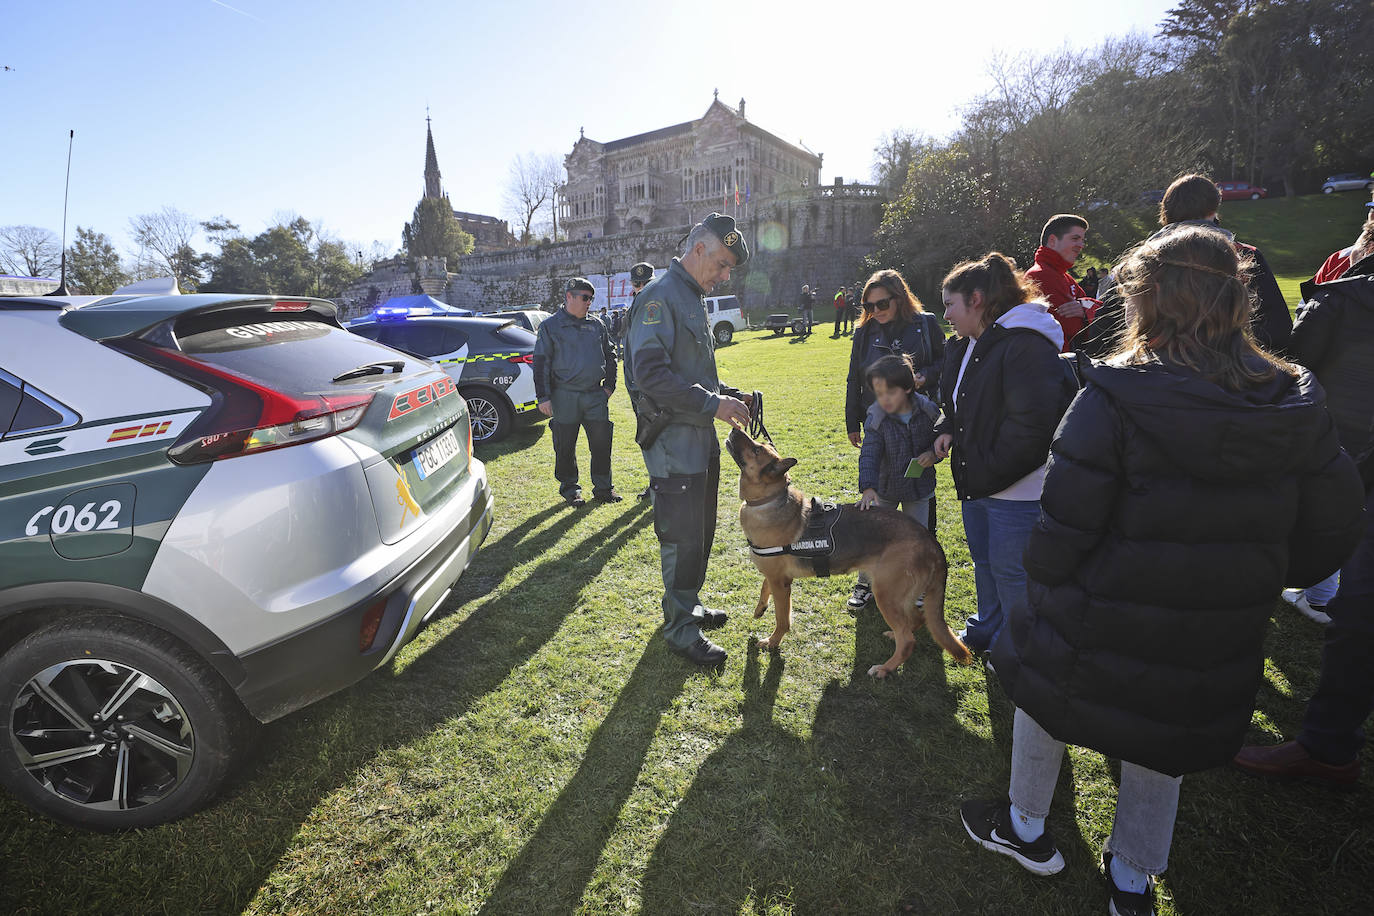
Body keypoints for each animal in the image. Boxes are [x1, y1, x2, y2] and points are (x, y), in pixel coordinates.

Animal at [725, 425, 972, 678]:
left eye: (756, 449)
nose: (734, 427)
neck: (768, 500)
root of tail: (931, 542)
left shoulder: (781, 583)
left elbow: (782, 619)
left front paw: (772, 642)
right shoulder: (776, 576)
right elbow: (764, 587)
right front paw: (760, 609)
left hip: (886, 595)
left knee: (908, 640)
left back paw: (884, 668)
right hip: (899, 596)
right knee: (917, 619)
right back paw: (893, 637)